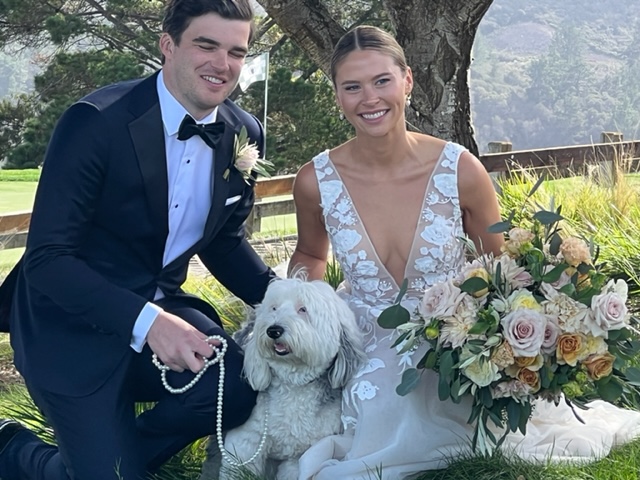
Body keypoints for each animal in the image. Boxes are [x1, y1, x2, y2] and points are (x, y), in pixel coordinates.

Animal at [212, 276, 366, 480]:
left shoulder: (301, 456)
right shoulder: (246, 443)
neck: (294, 385)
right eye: (274, 308)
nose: (273, 330)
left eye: (303, 309)